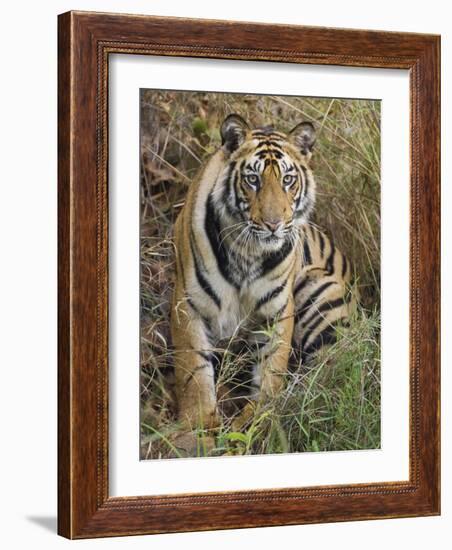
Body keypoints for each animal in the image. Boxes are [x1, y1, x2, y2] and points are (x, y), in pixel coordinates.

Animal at [170, 113, 356, 448]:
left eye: (288, 180)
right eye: (253, 179)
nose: (273, 224)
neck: (247, 252)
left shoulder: (277, 312)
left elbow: (271, 373)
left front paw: (259, 422)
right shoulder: (187, 304)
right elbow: (193, 371)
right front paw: (197, 429)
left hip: (321, 295)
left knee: (330, 376)